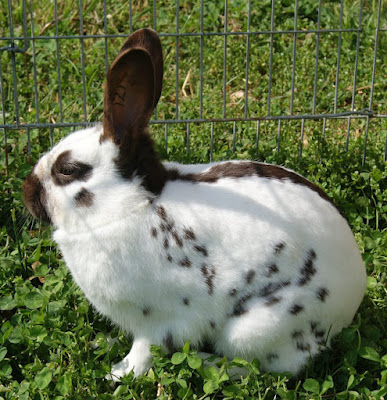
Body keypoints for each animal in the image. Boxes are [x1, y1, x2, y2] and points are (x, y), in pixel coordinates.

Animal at [22, 28, 368, 382]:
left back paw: (208, 362)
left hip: (254, 329)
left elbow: (143, 353)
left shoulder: (156, 323)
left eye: (67, 170)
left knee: (264, 368)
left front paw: (117, 376)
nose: (26, 191)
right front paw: (106, 346)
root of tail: (350, 304)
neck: (131, 206)